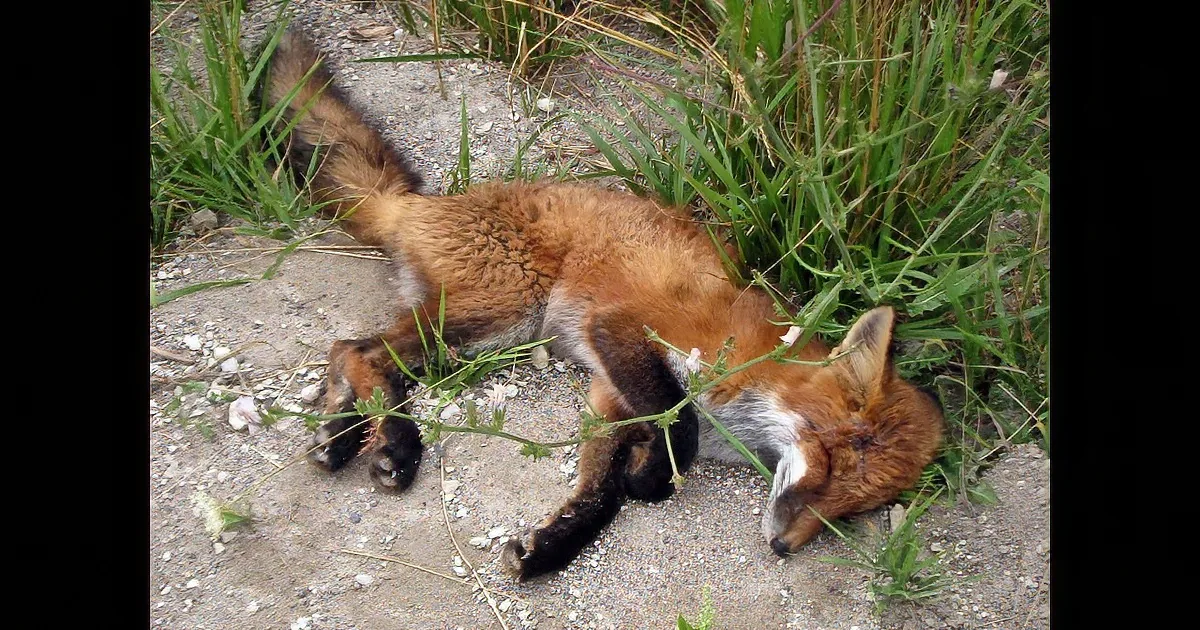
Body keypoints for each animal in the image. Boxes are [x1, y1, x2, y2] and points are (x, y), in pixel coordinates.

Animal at [263, 27, 944, 581]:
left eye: (853, 511)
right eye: (828, 465)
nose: (783, 548)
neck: (751, 389)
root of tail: (421, 203)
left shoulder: (610, 395)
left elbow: (598, 495)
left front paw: (549, 548)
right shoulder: (622, 331)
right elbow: (678, 427)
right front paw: (651, 476)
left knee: (352, 355)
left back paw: (343, 437)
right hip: (503, 315)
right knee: (359, 349)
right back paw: (396, 446)